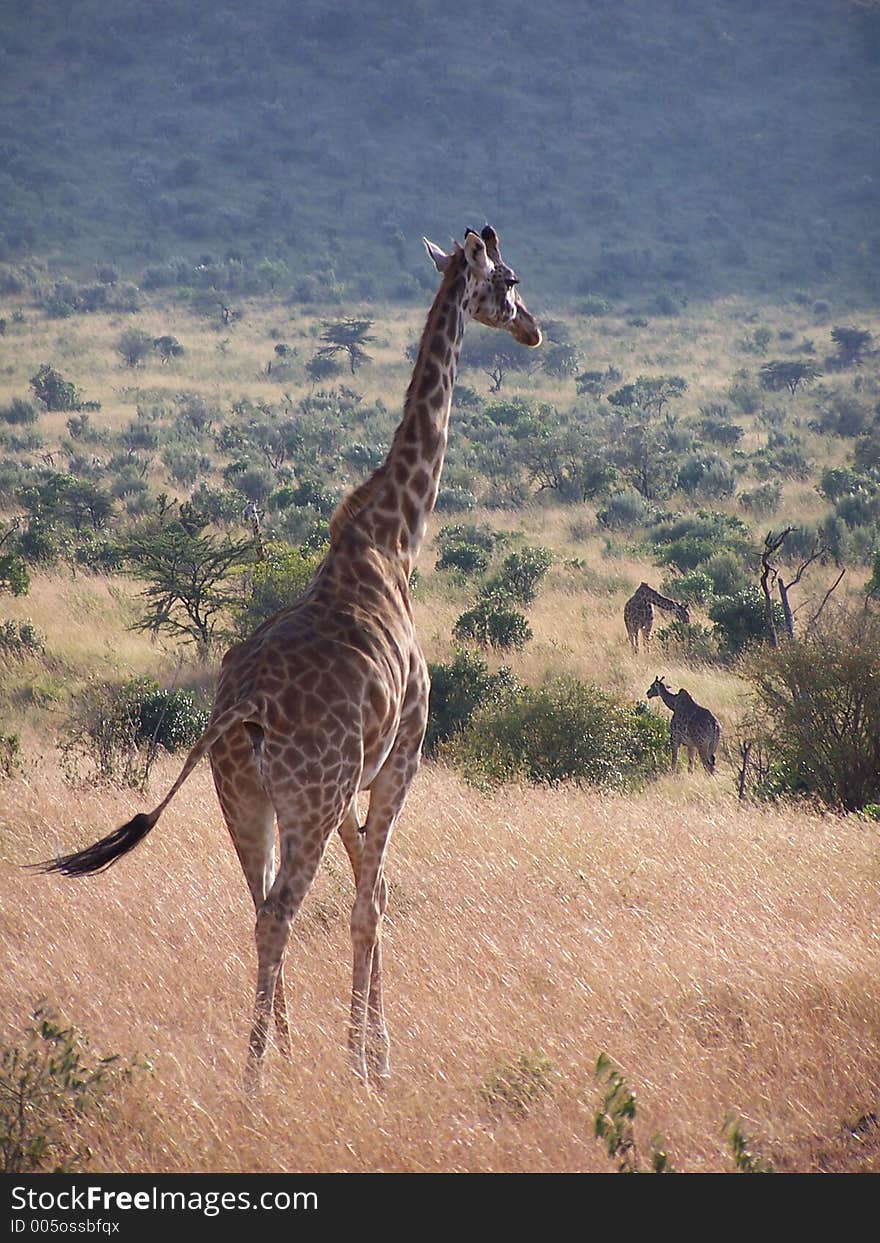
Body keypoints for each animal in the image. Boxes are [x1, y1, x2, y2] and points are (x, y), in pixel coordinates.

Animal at [34, 226, 539, 1088]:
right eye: (505, 279)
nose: (533, 327)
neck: (393, 540)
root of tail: (240, 708)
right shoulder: (402, 756)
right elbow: (371, 898)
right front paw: (371, 1062)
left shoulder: (352, 785)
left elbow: (370, 886)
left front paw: (359, 1048)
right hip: (307, 793)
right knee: (279, 909)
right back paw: (257, 1075)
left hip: (247, 796)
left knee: (258, 901)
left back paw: (280, 1047)